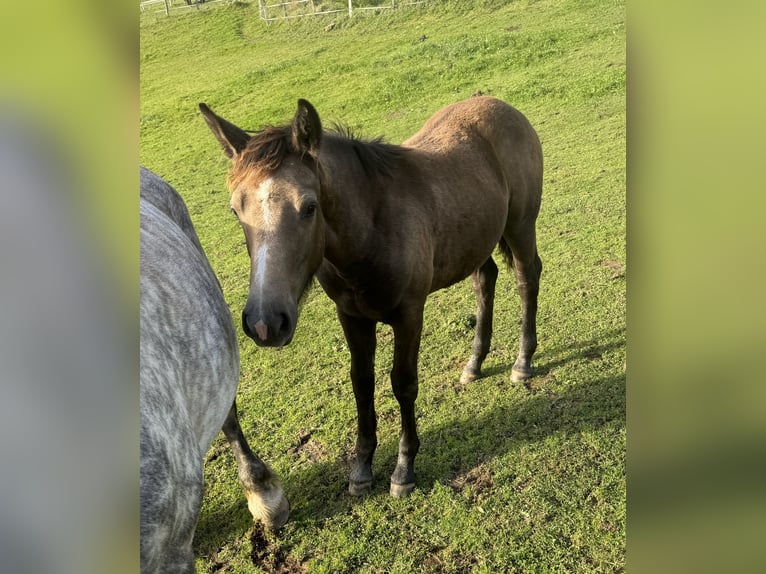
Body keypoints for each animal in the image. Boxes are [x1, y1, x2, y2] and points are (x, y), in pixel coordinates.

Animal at [201, 98, 544, 500]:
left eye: (309, 207)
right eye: (235, 210)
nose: (264, 322)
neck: (373, 231)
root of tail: (501, 106)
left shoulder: (409, 314)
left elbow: (403, 383)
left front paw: (403, 470)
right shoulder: (351, 316)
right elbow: (362, 384)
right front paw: (362, 469)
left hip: (520, 226)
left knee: (526, 279)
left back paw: (522, 361)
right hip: (475, 239)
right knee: (485, 279)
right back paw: (474, 363)